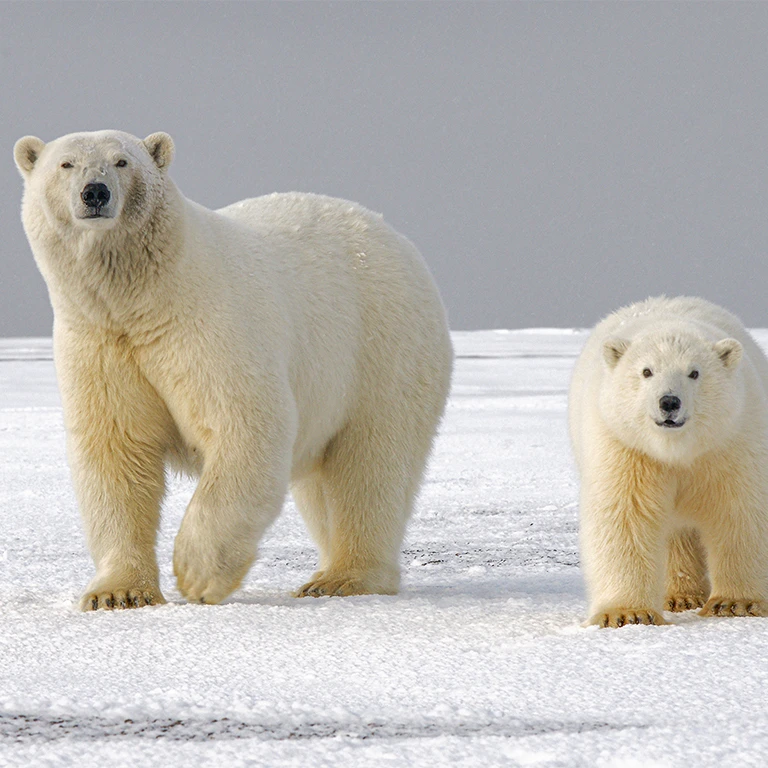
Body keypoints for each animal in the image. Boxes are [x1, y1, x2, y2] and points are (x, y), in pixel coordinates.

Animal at [15, 130, 452, 612]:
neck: (144, 299)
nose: (95, 192)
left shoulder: (208, 326)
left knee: (370, 464)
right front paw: (117, 593)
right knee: (324, 484)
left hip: (381, 348)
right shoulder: (99, 343)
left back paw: (343, 578)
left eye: (122, 161)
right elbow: (116, 451)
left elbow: (244, 425)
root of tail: (394, 236)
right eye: (66, 164)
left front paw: (196, 573)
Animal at [568, 296, 768, 628]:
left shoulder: (732, 440)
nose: (669, 402)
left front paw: (735, 603)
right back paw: (680, 596)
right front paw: (627, 613)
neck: (677, 450)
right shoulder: (626, 447)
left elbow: (741, 510)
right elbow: (625, 514)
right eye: (646, 371)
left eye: (694, 373)